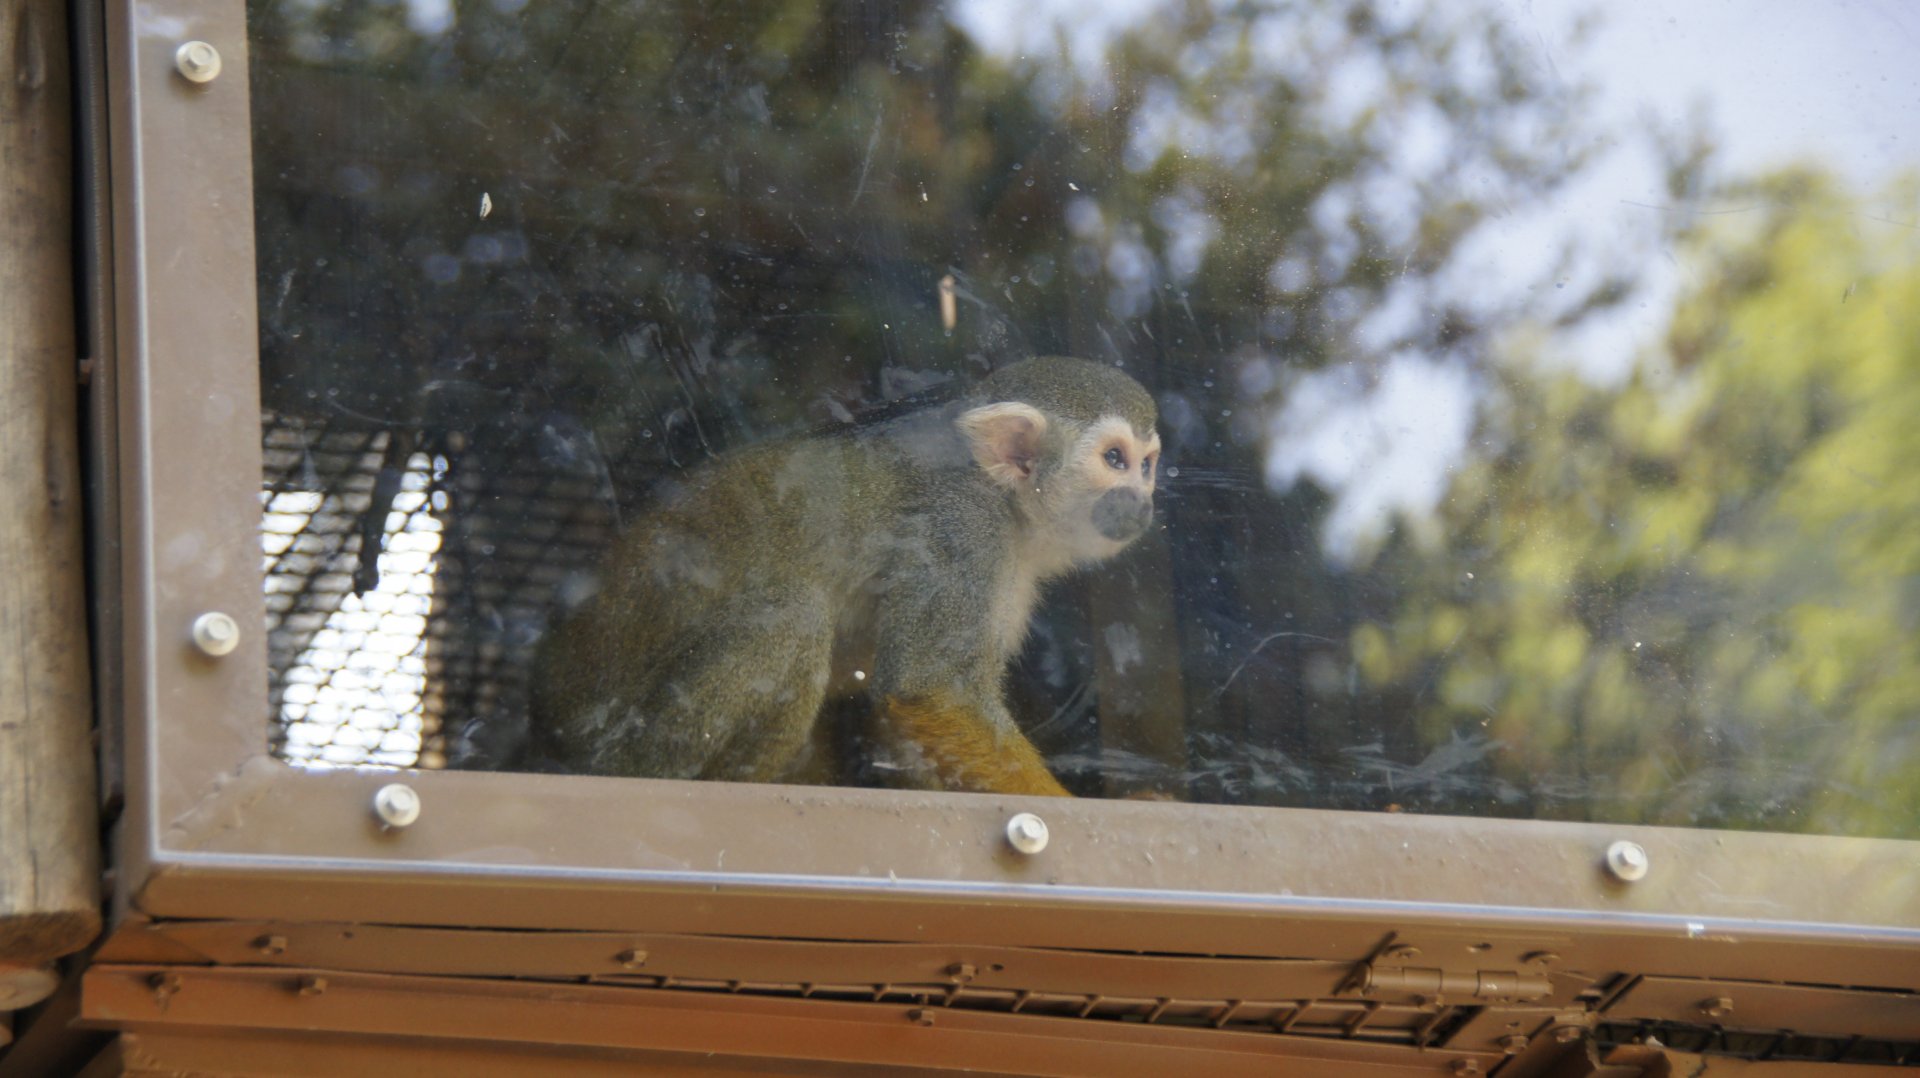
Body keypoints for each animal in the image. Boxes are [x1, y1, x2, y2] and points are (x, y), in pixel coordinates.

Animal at [525, 355, 1161, 796]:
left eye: (1147, 465)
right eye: (1114, 461)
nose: (1144, 501)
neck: (1007, 505)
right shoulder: (960, 530)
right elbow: (930, 691)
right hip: (622, 744)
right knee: (794, 617)